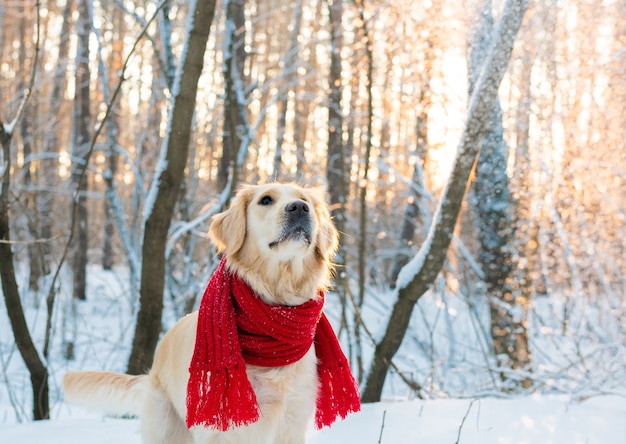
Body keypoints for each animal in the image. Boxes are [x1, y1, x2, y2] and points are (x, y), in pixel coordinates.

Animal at [63, 183, 358, 444]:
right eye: (266, 200)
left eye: (304, 199)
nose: (299, 208)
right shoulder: (218, 428)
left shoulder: (292, 421)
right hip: (166, 428)